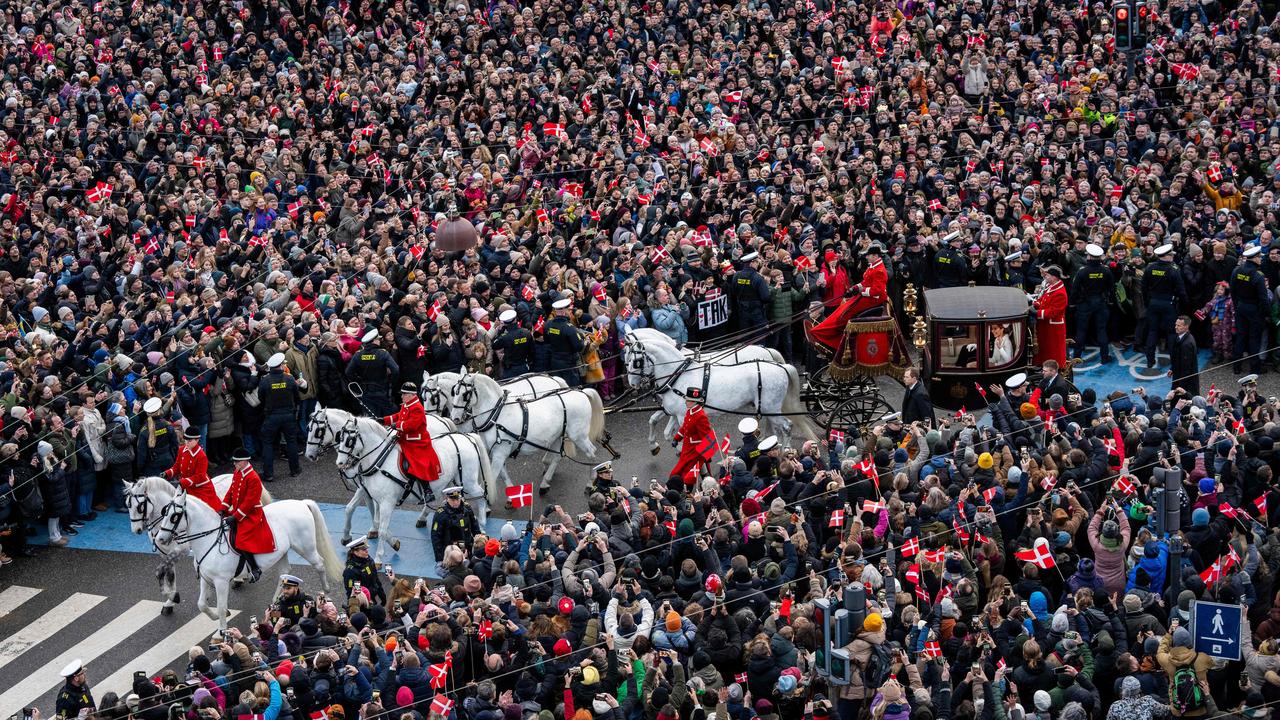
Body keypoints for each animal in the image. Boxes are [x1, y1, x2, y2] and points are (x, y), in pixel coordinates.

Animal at [140, 479, 343, 630]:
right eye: (164, 512)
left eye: (174, 516)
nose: (160, 538)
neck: (209, 538)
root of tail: (301, 503)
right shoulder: (205, 578)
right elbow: (202, 605)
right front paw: (217, 617)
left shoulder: (221, 582)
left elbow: (221, 607)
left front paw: (222, 633)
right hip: (283, 553)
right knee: (284, 573)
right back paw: (275, 601)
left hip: (305, 547)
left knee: (319, 564)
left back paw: (325, 593)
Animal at [320, 409, 494, 561]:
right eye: (339, 437)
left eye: (350, 440)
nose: (340, 463)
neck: (380, 461)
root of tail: (467, 437)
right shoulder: (375, 497)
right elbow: (376, 522)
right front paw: (393, 542)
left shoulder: (387, 502)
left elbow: (382, 529)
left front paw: (378, 558)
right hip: (452, 482)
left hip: (468, 482)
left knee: (481, 495)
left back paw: (482, 527)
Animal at [450, 366, 609, 489]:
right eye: (454, 391)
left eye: (465, 394)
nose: (455, 418)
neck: (496, 415)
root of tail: (581, 392)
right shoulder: (493, 453)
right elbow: (502, 475)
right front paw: (511, 494)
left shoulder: (500, 452)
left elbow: (493, 478)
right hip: (558, 434)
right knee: (558, 455)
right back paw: (545, 481)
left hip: (578, 436)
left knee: (591, 452)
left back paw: (590, 481)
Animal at [619, 326, 808, 448]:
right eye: (625, 358)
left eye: (635, 361)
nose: (632, 384)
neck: (678, 374)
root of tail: (779, 365)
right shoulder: (672, 410)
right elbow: (661, 427)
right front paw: (655, 444)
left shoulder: (681, 415)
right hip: (766, 407)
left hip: (770, 407)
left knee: (786, 426)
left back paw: (783, 452)